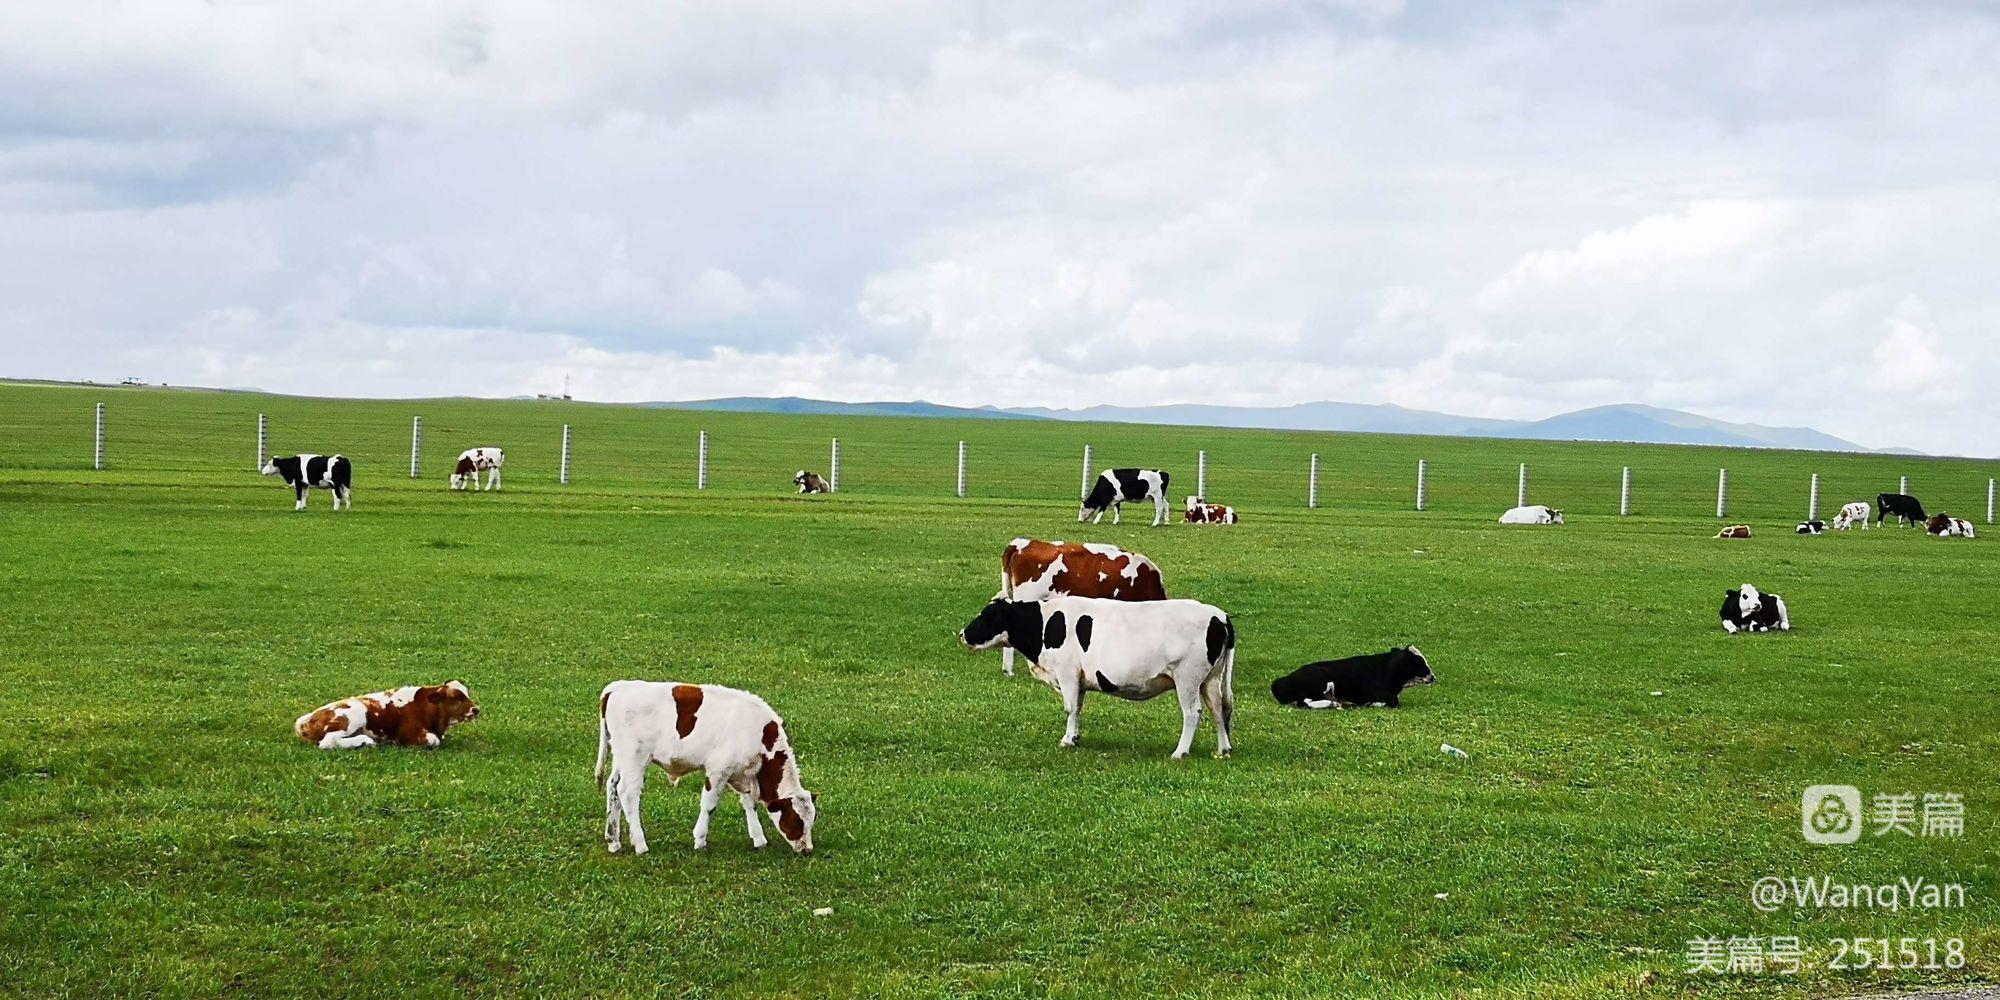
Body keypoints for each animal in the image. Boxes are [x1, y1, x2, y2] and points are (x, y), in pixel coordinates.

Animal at [292, 680, 480, 752]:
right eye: (456, 696)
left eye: (467, 692)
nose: (476, 709)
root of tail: (305, 720)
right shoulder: (410, 733)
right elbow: (433, 741)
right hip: (355, 714)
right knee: (327, 742)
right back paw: (365, 741)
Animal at [592, 676, 820, 856]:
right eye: (796, 821)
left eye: (811, 820)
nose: (807, 850)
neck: (760, 735)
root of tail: (617, 688)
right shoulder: (718, 770)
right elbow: (709, 805)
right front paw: (700, 840)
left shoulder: (744, 773)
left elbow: (750, 804)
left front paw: (759, 839)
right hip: (635, 757)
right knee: (627, 793)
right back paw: (640, 844)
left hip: (621, 756)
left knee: (613, 787)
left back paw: (613, 840)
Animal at [956, 592, 1232, 756]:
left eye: (987, 615)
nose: (962, 634)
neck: (1046, 623)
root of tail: (1219, 614)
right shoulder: (1079, 679)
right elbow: (1077, 708)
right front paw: (1075, 738)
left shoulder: (1067, 673)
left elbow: (1069, 708)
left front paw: (1067, 740)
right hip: (1210, 678)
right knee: (1218, 709)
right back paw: (1223, 749)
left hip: (1187, 678)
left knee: (1193, 712)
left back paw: (1180, 752)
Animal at [1272, 648, 1432, 712]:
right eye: (1419, 662)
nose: (1433, 676)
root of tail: (1280, 681)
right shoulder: (1369, 691)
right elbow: (1393, 700)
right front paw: (1372, 704)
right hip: (1318, 682)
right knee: (1304, 702)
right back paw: (1333, 704)